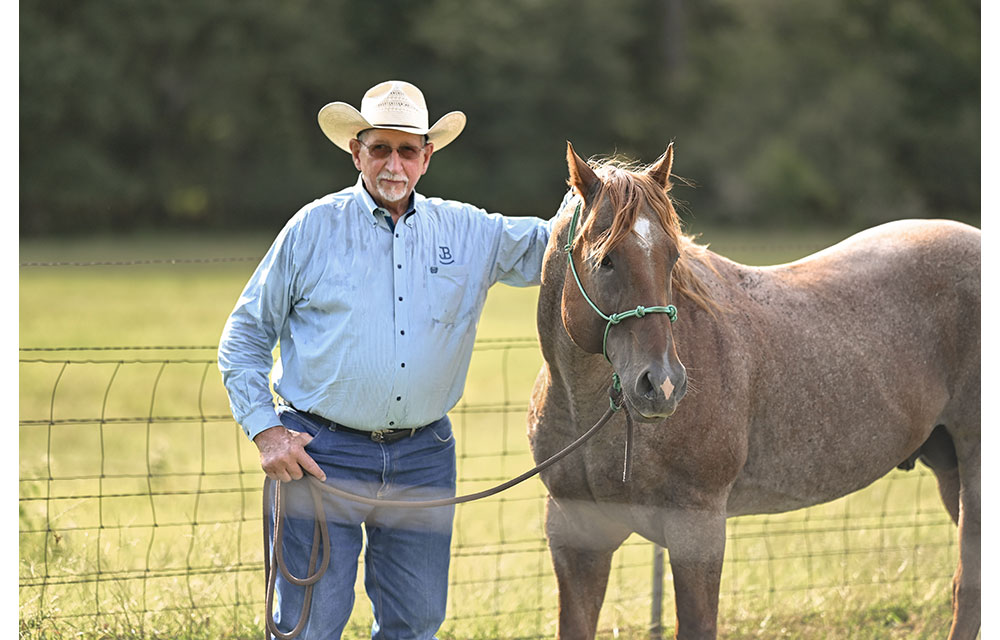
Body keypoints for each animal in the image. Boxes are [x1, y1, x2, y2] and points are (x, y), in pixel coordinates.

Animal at [527, 142, 980, 639]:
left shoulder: (697, 529)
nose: (662, 384)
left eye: (672, 257)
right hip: (950, 470)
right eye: (605, 259)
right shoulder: (577, 537)